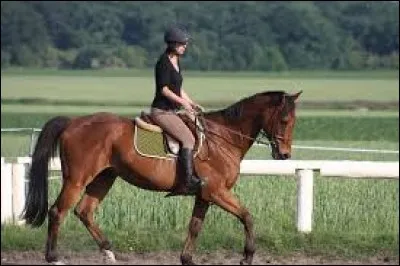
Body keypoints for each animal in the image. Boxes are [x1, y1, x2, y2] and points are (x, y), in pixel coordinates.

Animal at [21, 90, 302, 264]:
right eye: (284, 120)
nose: (285, 155)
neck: (223, 137)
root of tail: (73, 122)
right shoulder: (217, 192)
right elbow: (247, 216)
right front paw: (247, 256)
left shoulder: (205, 195)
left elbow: (195, 227)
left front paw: (186, 259)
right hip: (77, 179)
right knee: (58, 211)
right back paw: (54, 257)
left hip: (104, 178)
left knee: (84, 211)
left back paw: (109, 252)